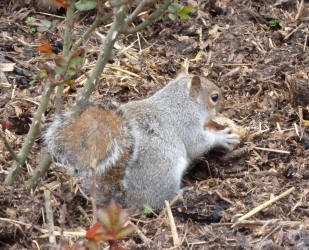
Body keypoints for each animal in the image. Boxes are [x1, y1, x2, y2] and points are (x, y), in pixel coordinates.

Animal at [43, 66, 239, 209]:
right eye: (214, 97)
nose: (225, 104)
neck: (182, 101)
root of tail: (123, 196)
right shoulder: (186, 123)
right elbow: (197, 144)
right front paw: (222, 137)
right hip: (165, 169)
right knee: (160, 201)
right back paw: (180, 194)